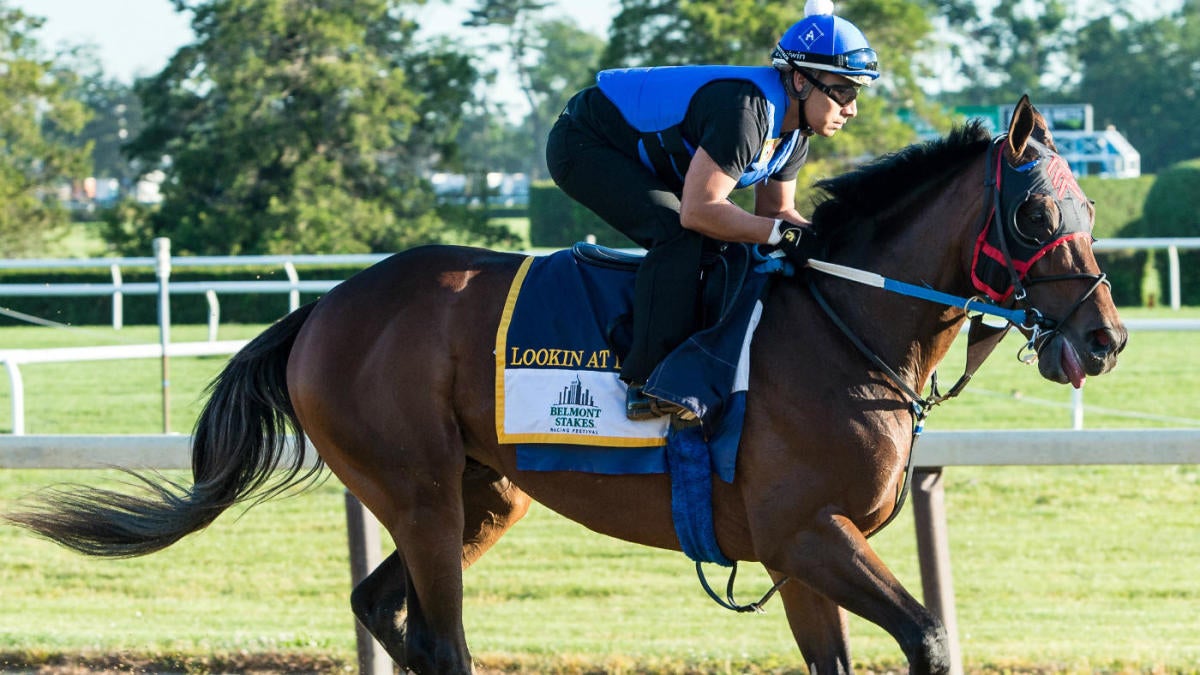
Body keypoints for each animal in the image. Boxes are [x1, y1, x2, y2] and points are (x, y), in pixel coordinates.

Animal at [7, 96, 1123, 672]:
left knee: (385, 608)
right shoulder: (809, 532)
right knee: (441, 634)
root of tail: (321, 310)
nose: (1105, 337)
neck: (844, 326)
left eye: (1088, 205)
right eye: (1035, 213)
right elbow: (929, 632)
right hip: (416, 489)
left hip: (485, 493)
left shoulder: (802, 552)